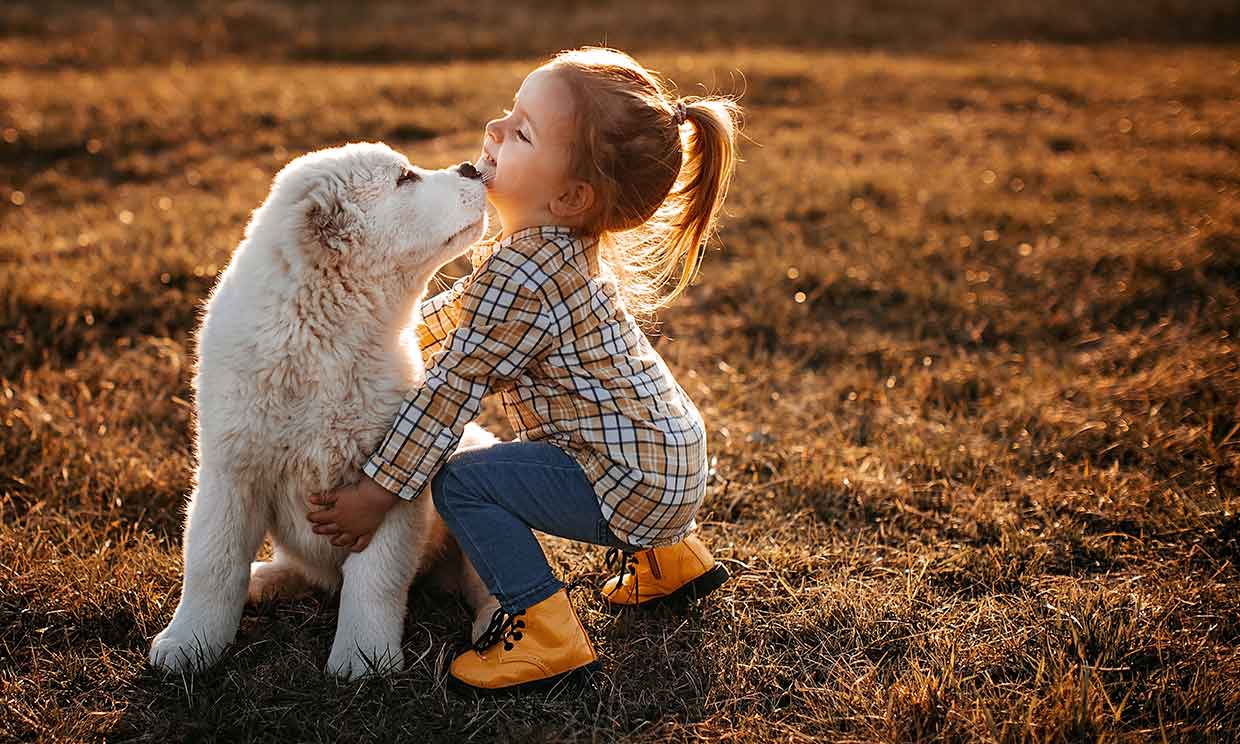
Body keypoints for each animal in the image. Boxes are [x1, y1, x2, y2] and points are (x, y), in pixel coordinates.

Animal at [152, 142, 500, 684]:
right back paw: (265, 579)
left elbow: (375, 579)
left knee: (483, 582)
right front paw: (189, 644)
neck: (325, 338)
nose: (470, 167)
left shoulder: (381, 487)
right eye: (405, 179)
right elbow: (212, 564)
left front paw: (364, 658)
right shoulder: (231, 472)